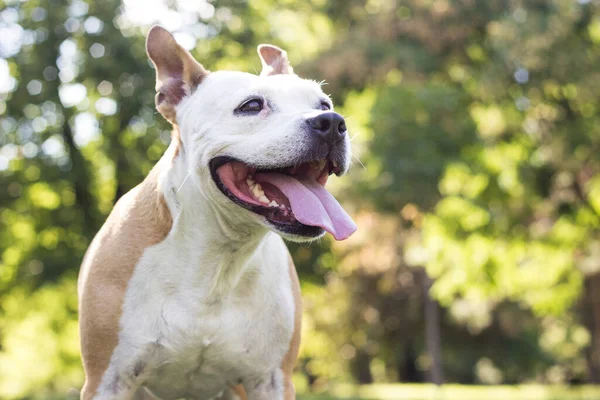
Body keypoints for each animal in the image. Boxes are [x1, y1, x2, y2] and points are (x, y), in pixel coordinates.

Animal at [75, 25, 356, 400]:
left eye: (324, 104)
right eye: (251, 106)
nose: (332, 121)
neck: (219, 257)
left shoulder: (271, 380)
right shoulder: (108, 379)